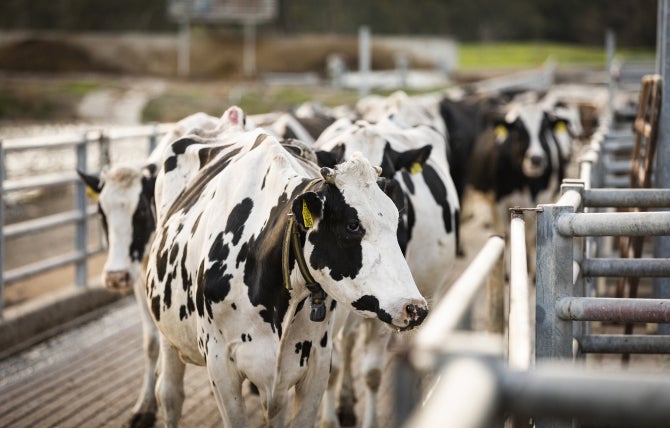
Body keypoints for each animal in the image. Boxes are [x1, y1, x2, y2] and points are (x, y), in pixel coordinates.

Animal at [145, 106, 428, 427]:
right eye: (353, 225)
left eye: (395, 218)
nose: (414, 308)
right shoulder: (220, 364)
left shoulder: (316, 362)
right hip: (168, 331)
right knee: (169, 394)